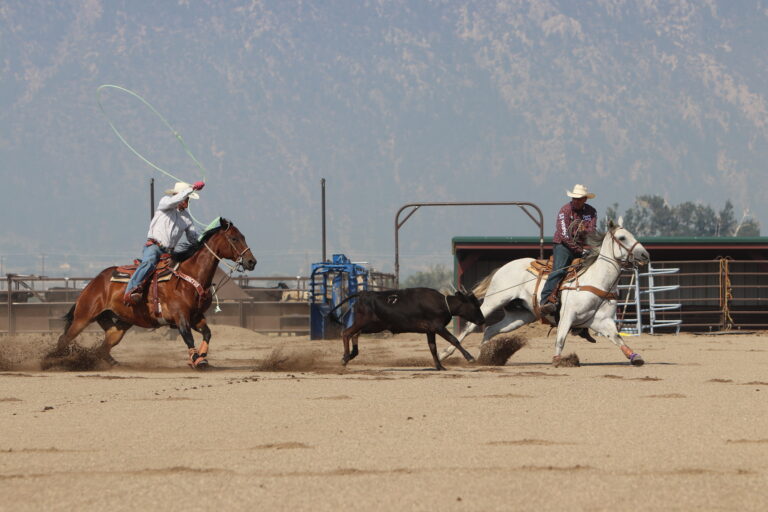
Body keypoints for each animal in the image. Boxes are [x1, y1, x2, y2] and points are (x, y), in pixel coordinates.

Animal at [53, 216, 260, 368]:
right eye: (234, 238)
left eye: (243, 236)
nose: (252, 261)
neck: (189, 276)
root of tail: (93, 283)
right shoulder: (180, 317)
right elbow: (188, 338)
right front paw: (196, 360)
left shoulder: (196, 316)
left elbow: (207, 333)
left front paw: (202, 357)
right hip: (84, 316)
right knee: (64, 339)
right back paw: (53, 361)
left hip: (119, 322)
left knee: (104, 347)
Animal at [438, 219, 648, 364]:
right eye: (622, 238)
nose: (645, 254)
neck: (596, 280)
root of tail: (504, 267)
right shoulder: (567, 315)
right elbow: (560, 338)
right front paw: (558, 360)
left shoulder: (602, 321)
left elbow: (618, 338)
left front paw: (635, 357)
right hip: (494, 300)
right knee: (470, 327)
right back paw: (446, 354)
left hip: (519, 316)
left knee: (490, 329)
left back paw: (485, 356)